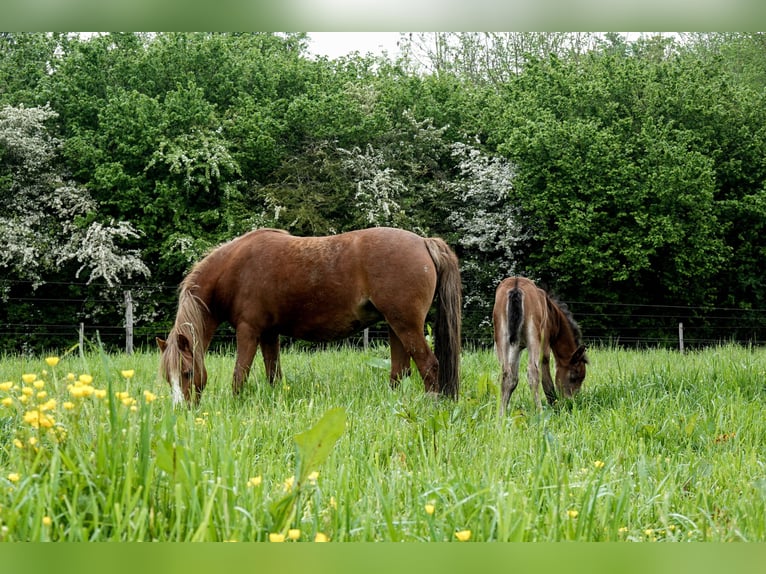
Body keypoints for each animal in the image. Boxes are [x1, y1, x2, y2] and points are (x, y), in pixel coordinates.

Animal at [158, 227, 462, 408]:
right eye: (166, 377)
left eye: (187, 372)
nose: (181, 410)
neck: (233, 269)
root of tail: (424, 242)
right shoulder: (269, 334)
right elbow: (273, 374)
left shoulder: (248, 331)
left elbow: (239, 375)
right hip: (395, 326)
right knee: (399, 371)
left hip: (406, 326)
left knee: (429, 366)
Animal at [496, 276, 592, 414]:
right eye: (574, 376)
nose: (570, 401)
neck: (553, 316)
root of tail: (516, 286)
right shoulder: (544, 346)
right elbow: (546, 378)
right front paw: (554, 405)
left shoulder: (517, 347)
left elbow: (512, 379)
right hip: (534, 339)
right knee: (533, 373)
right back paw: (540, 411)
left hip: (502, 339)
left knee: (506, 373)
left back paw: (500, 414)